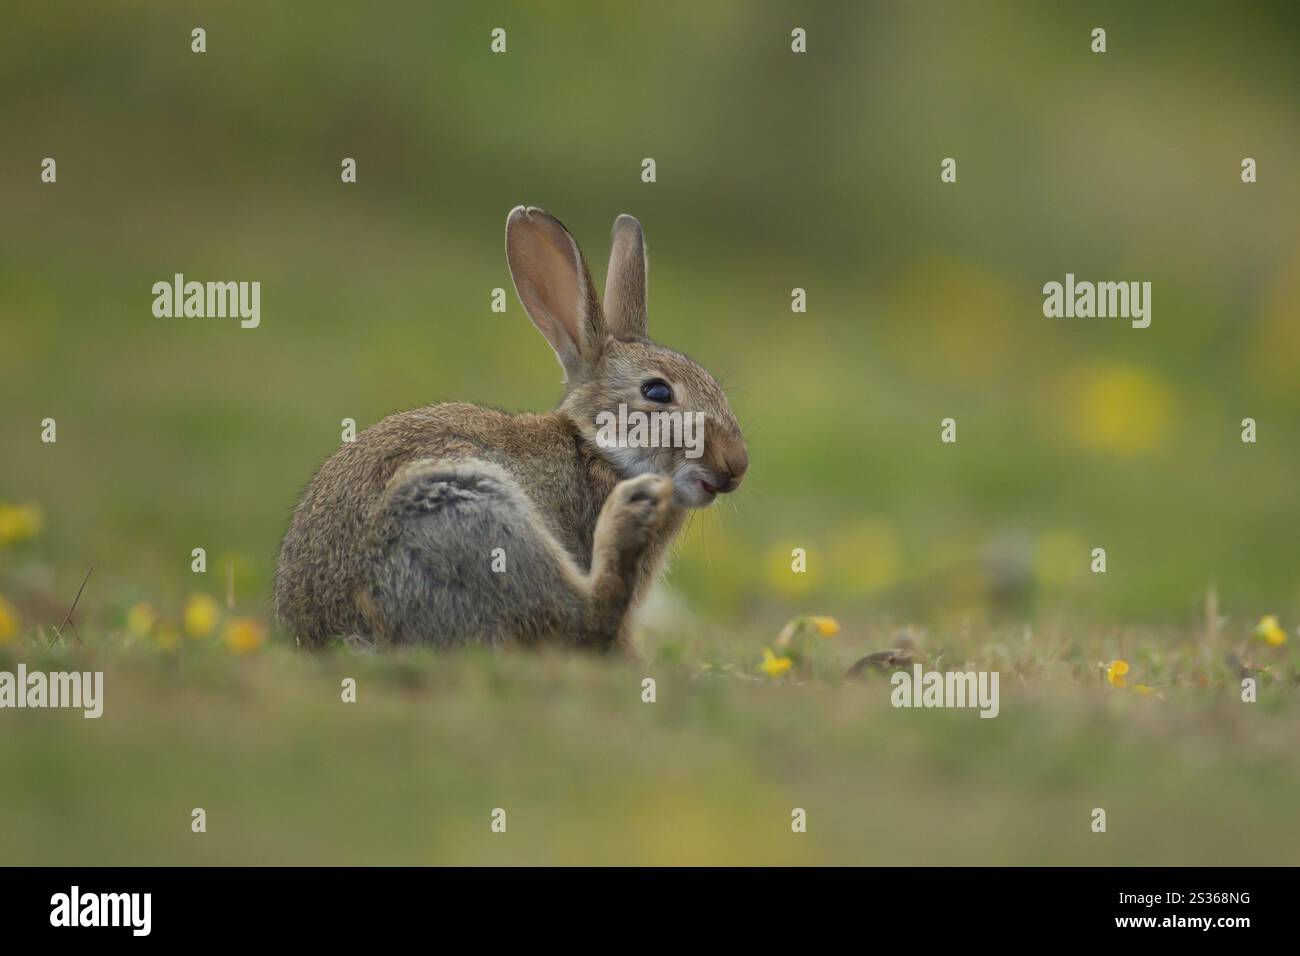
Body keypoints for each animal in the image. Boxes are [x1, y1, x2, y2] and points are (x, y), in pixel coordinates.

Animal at [273, 207, 748, 653]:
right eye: (657, 391)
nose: (737, 465)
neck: (595, 452)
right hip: (468, 514)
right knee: (578, 622)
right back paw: (628, 516)